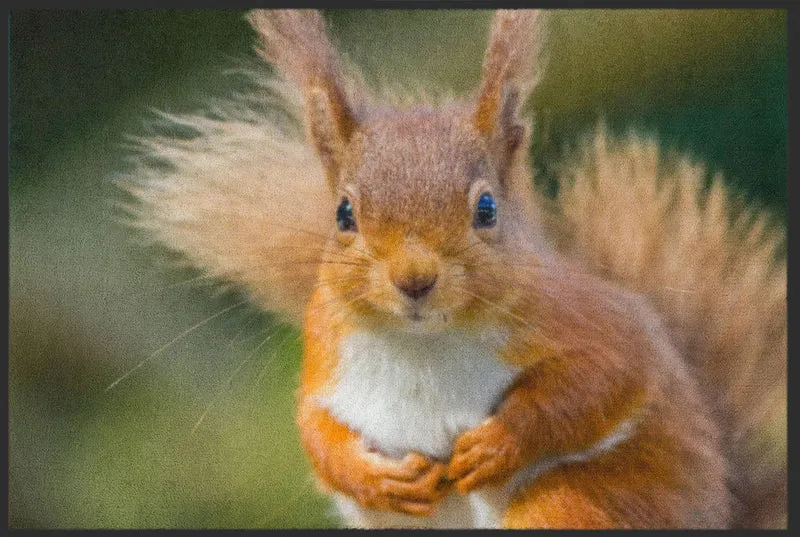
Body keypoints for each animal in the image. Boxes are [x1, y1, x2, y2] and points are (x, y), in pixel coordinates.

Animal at [118, 9, 786, 529]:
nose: (414, 279)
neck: (425, 344)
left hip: (577, 500)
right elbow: (316, 432)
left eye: (486, 208)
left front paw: (499, 444)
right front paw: (373, 478)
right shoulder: (326, 357)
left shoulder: (591, 322)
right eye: (343, 214)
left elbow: (603, 379)